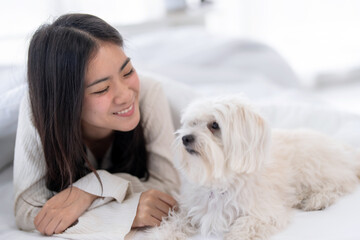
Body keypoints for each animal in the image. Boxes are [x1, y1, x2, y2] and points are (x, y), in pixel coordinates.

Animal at [147, 95, 360, 240]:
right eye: (192, 123)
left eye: (214, 125)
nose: (185, 138)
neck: (221, 181)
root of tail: (345, 150)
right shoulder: (190, 208)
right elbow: (175, 221)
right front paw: (160, 234)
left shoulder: (265, 213)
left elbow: (246, 225)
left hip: (314, 166)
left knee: (339, 185)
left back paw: (317, 199)